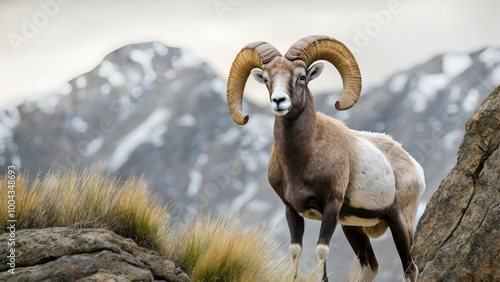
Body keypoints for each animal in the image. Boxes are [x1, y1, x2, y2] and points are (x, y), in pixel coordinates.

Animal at [227, 35, 426, 282]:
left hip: (400, 223)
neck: (301, 160)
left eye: (301, 76)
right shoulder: (292, 210)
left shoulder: (331, 207)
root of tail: (414, 166)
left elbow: (321, 251)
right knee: (370, 266)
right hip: (352, 227)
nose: (279, 101)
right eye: (265, 79)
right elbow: (296, 250)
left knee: (410, 268)